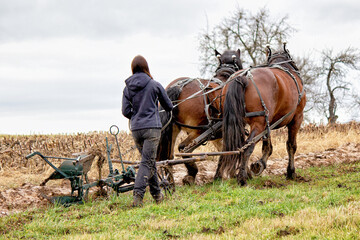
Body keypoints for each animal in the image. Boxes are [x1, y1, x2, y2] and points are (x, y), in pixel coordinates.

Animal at [157, 48, 243, 184]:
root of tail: (178, 87)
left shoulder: (218, 135)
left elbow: (224, 151)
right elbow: (231, 150)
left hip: (173, 129)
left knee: (168, 156)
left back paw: (170, 181)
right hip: (198, 131)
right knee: (183, 149)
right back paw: (191, 173)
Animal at [214, 43, 306, 186]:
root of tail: (243, 77)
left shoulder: (268, 122)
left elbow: (267, 145)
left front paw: (260, 164)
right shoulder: (297, 118)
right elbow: (291, 145)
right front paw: (290, 172)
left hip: (239, 122)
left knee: (230, 147)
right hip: (259, 122)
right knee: (247, 146)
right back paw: (242, 178)